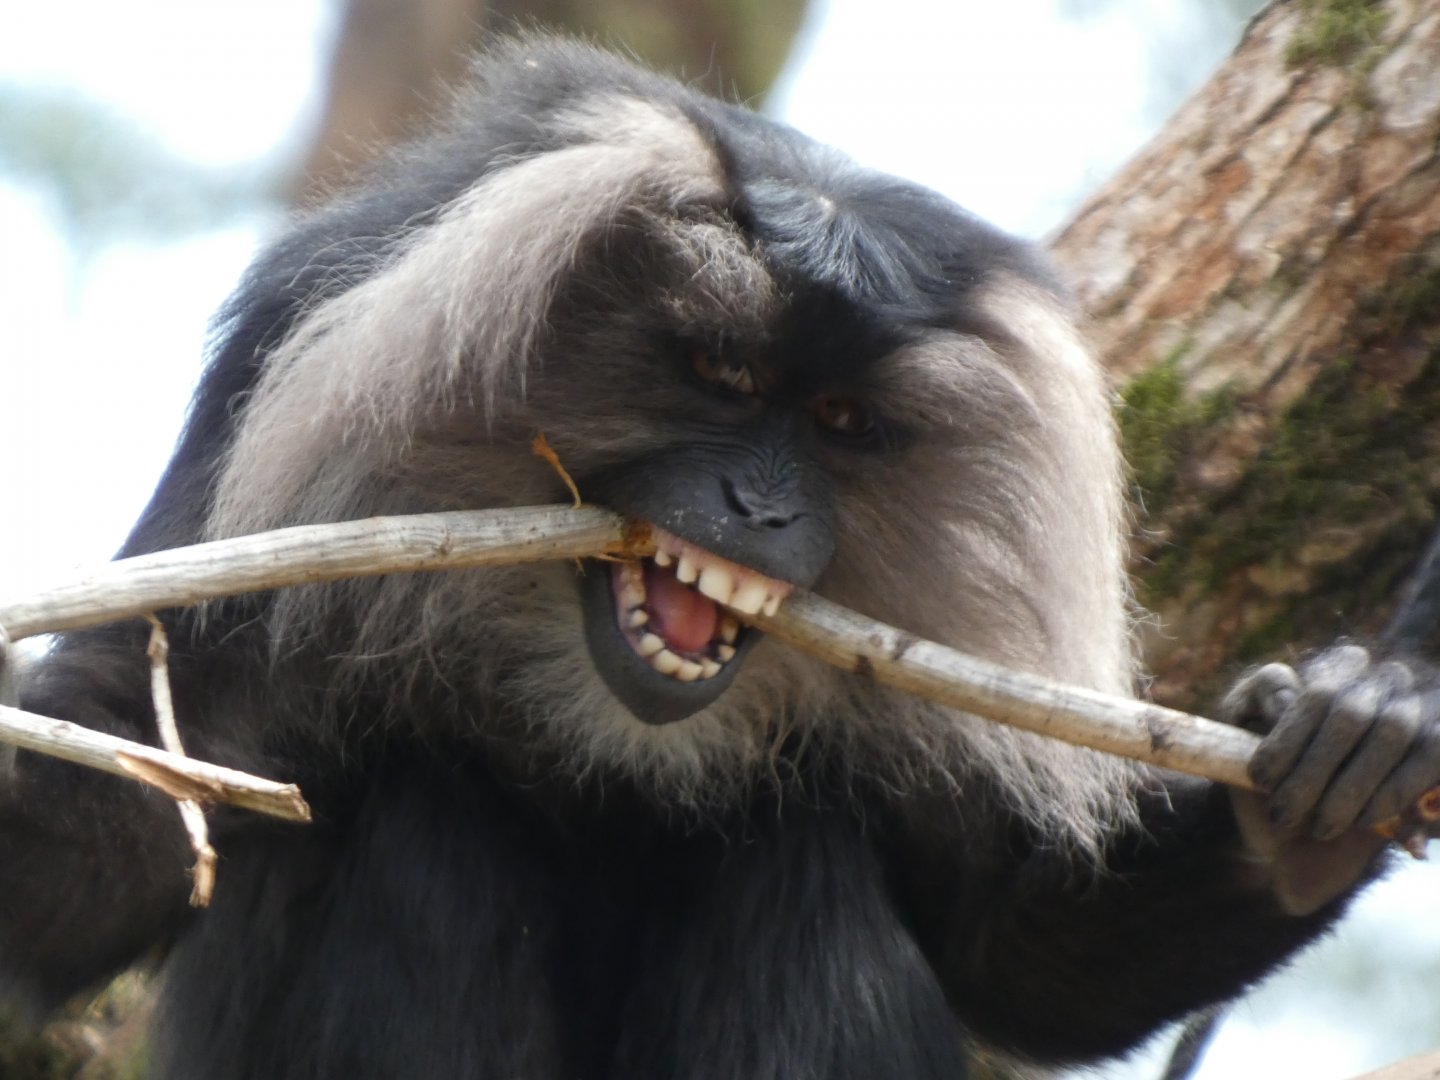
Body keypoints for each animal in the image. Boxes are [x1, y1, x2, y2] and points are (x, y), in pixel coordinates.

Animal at [2, 35, 1438, 1080]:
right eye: (720, 371)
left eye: (844, 424)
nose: (760, 507)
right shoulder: (281, 390)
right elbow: (126, 809)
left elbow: (1014, 945)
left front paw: (1348, 751)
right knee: (423, 825)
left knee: (792, 859)